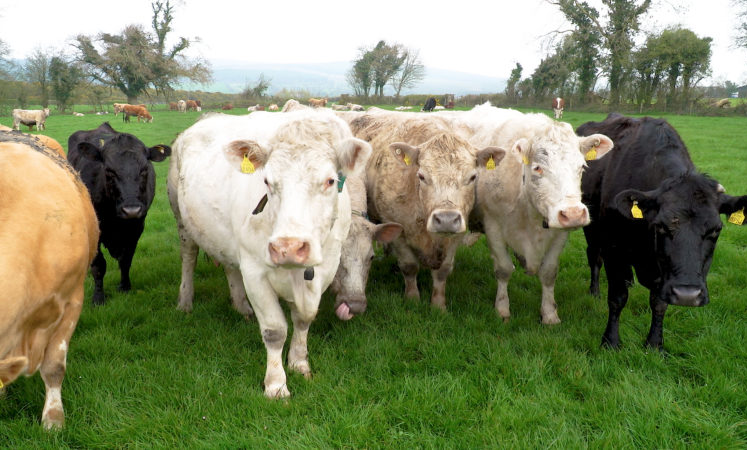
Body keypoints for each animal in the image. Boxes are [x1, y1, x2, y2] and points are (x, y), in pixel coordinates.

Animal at [67, 122, 171, 305]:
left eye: (144, 169)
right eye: (109, 171)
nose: (131, 210)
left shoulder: (137, 227)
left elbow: (126, 260)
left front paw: (124, 287)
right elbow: (99, 265)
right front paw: (98, 297)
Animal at [168, 109, 371, 398]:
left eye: (331, 180)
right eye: (267, 181)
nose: (288, 247)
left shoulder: (326, 268)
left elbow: (304, 319)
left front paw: (299, 363)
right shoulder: (255, 271)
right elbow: (275, 331)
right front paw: (276, 385)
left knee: (230, 266)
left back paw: (241, 306)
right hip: (181, 218)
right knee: (189, 257)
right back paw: (185, 301)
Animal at [348, 111, 505, 310]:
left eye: (472, 177)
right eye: (422, 176)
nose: (446, 219)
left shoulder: (456, 234)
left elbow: (442, 272)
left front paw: (438, 305)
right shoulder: (398, 229)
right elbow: (409, 267)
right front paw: (412, 299)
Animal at [435, 102, 613, 324]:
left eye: (582, 167)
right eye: (537, 168)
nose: (573, 214)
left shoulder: (560, 233)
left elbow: (549, 272)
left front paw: (549, 314)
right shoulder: (493, 226)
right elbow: (503, 269)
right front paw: (502, 309)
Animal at [577, 113, 747, 349]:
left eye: (716, 230)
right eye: (660, 226)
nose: (687, 295)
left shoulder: (664, 273)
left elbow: (658, 303)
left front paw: (655, 343)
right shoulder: (614, 250)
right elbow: (618, 297)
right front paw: (610, 341)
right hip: (592, 228)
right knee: (594, 257)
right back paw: (594, 292)